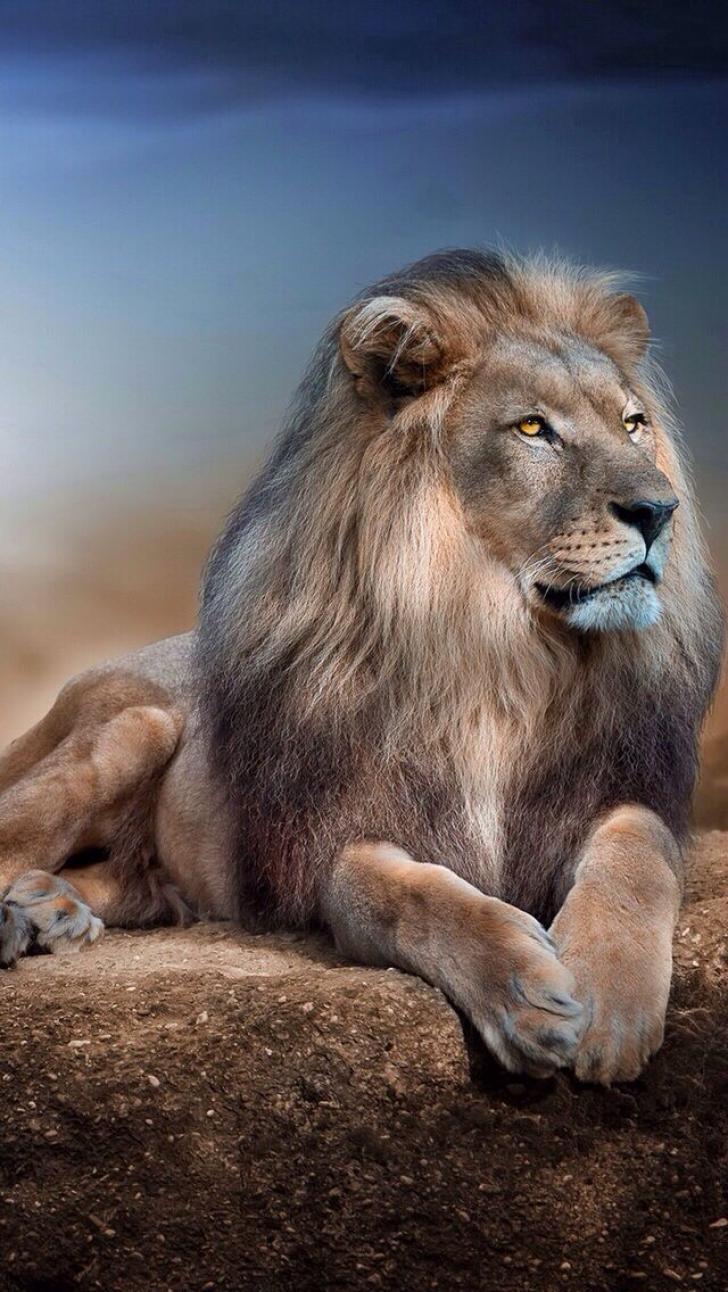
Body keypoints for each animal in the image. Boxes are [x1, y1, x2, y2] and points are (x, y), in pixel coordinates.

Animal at [0, 250, 722, 1085]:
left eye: (634, 423)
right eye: (534, 428)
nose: (659, 510)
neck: (502, 656)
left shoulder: (617, 787)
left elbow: (638, 852)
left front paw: (609, 998)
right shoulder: (338, 839)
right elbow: (406, 894)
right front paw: (525, 995)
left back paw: (52, 908)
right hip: (135, 725)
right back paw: (20, 918)